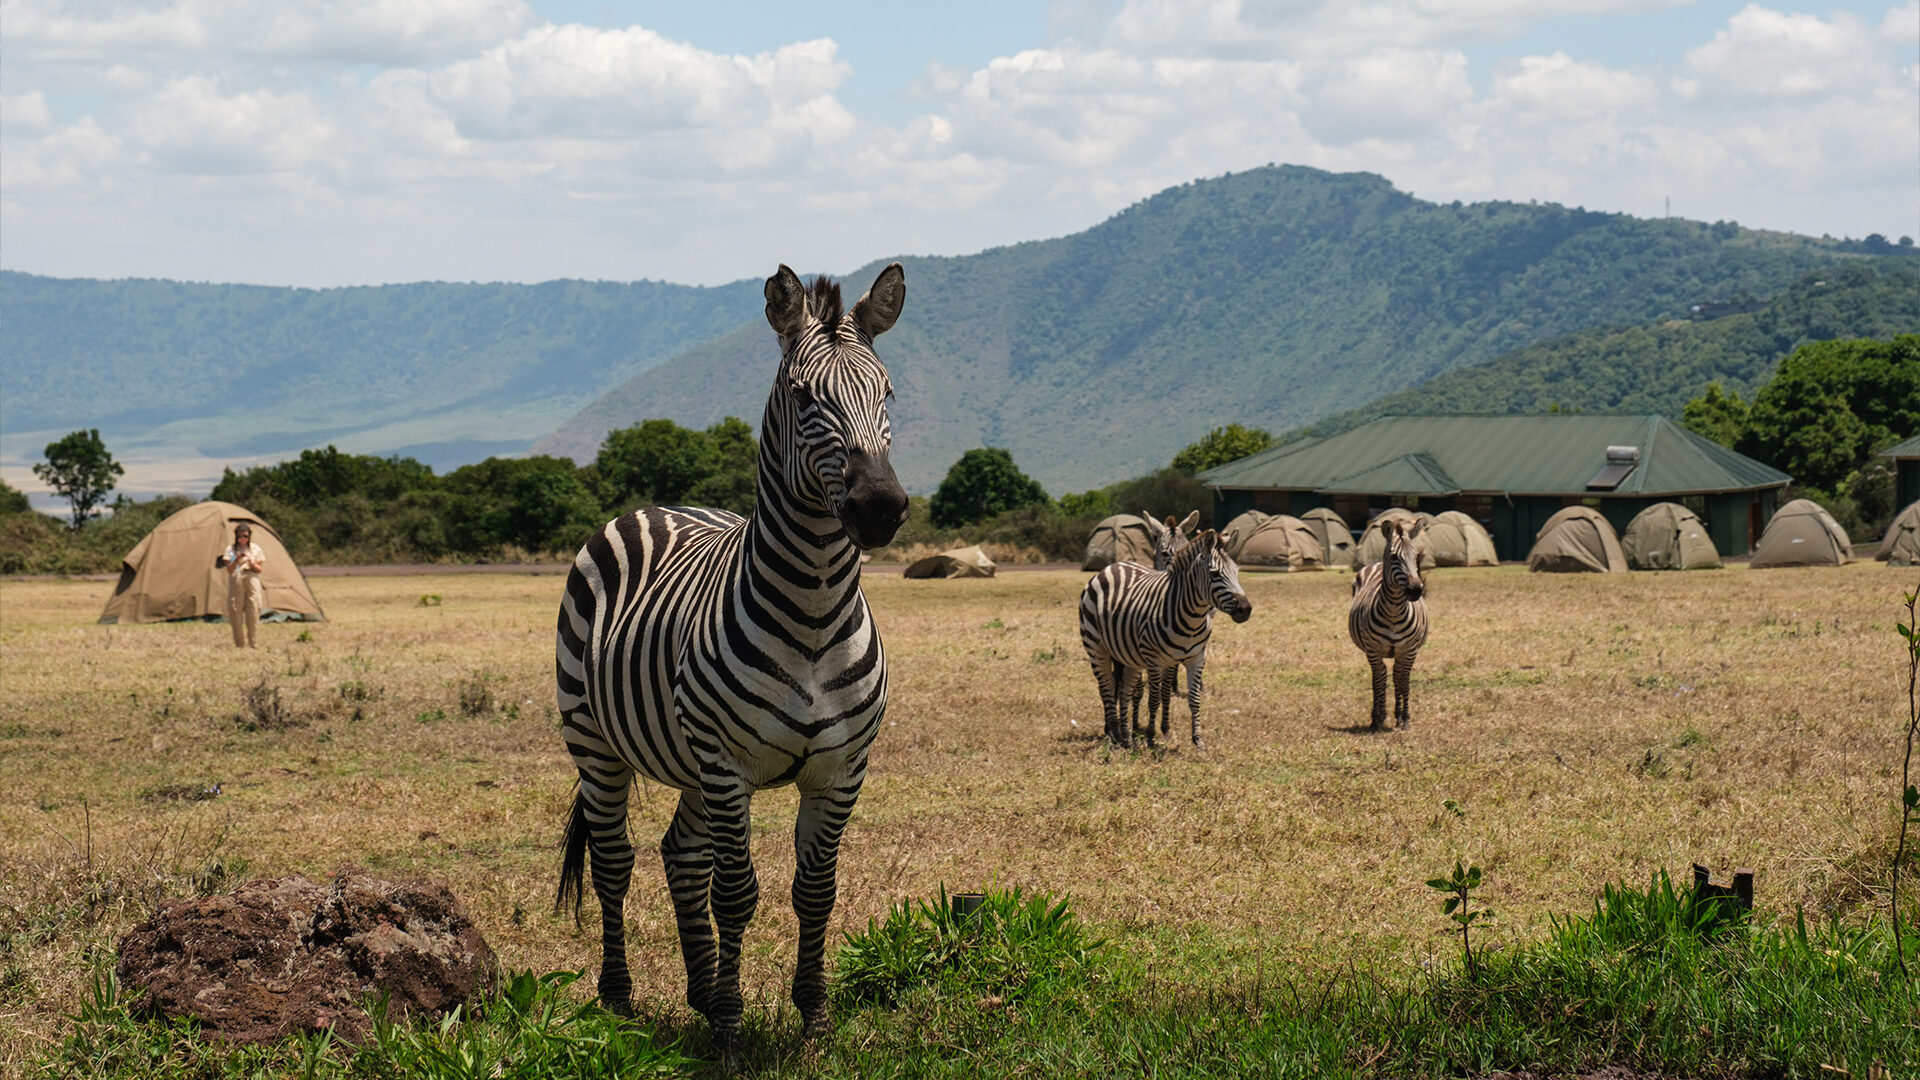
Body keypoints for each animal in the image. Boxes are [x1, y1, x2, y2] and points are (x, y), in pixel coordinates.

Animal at [554, 263, 910, 1059]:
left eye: (889, 394)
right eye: (805, 397)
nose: (879, 507)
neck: (815, 612)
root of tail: (657, 506)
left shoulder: (842, 768)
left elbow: (815, 891)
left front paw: (812, 1017)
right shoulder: (728, 764)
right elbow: (737, 893)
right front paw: (728, 1031)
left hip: (690, 762)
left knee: (678, 855)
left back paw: (697, 988)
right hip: (596, 742)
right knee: (617, 861)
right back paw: (619, 998)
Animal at [1080, 528, 1252, 749]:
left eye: (1237, 572)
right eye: (1214, 574)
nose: (1245, 609)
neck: (1191, 617)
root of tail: (1112, 566)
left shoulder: (1194, 658)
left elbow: (1190, 698)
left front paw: (1197, 740)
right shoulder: (1154, 660)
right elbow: (1154, 699)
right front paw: (1151, 737)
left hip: (1128, 655)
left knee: (1124, 690)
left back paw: (1126, 737)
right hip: (1096, 647)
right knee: (1107, 686)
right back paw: (1114, 734)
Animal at [1348, 516, 1430, 731]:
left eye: (1416, 556)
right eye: (1394, 557)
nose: (1415, 590)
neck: (1394, 611)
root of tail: (1376, 563)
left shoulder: (1409, 650)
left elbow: (1404, 681)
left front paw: (1405, 718)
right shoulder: (1373, 649)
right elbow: (1378, 681)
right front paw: (1377, 718)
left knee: (1396, 675)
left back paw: (1397, 715)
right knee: (1381, 676)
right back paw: (1378, 714)